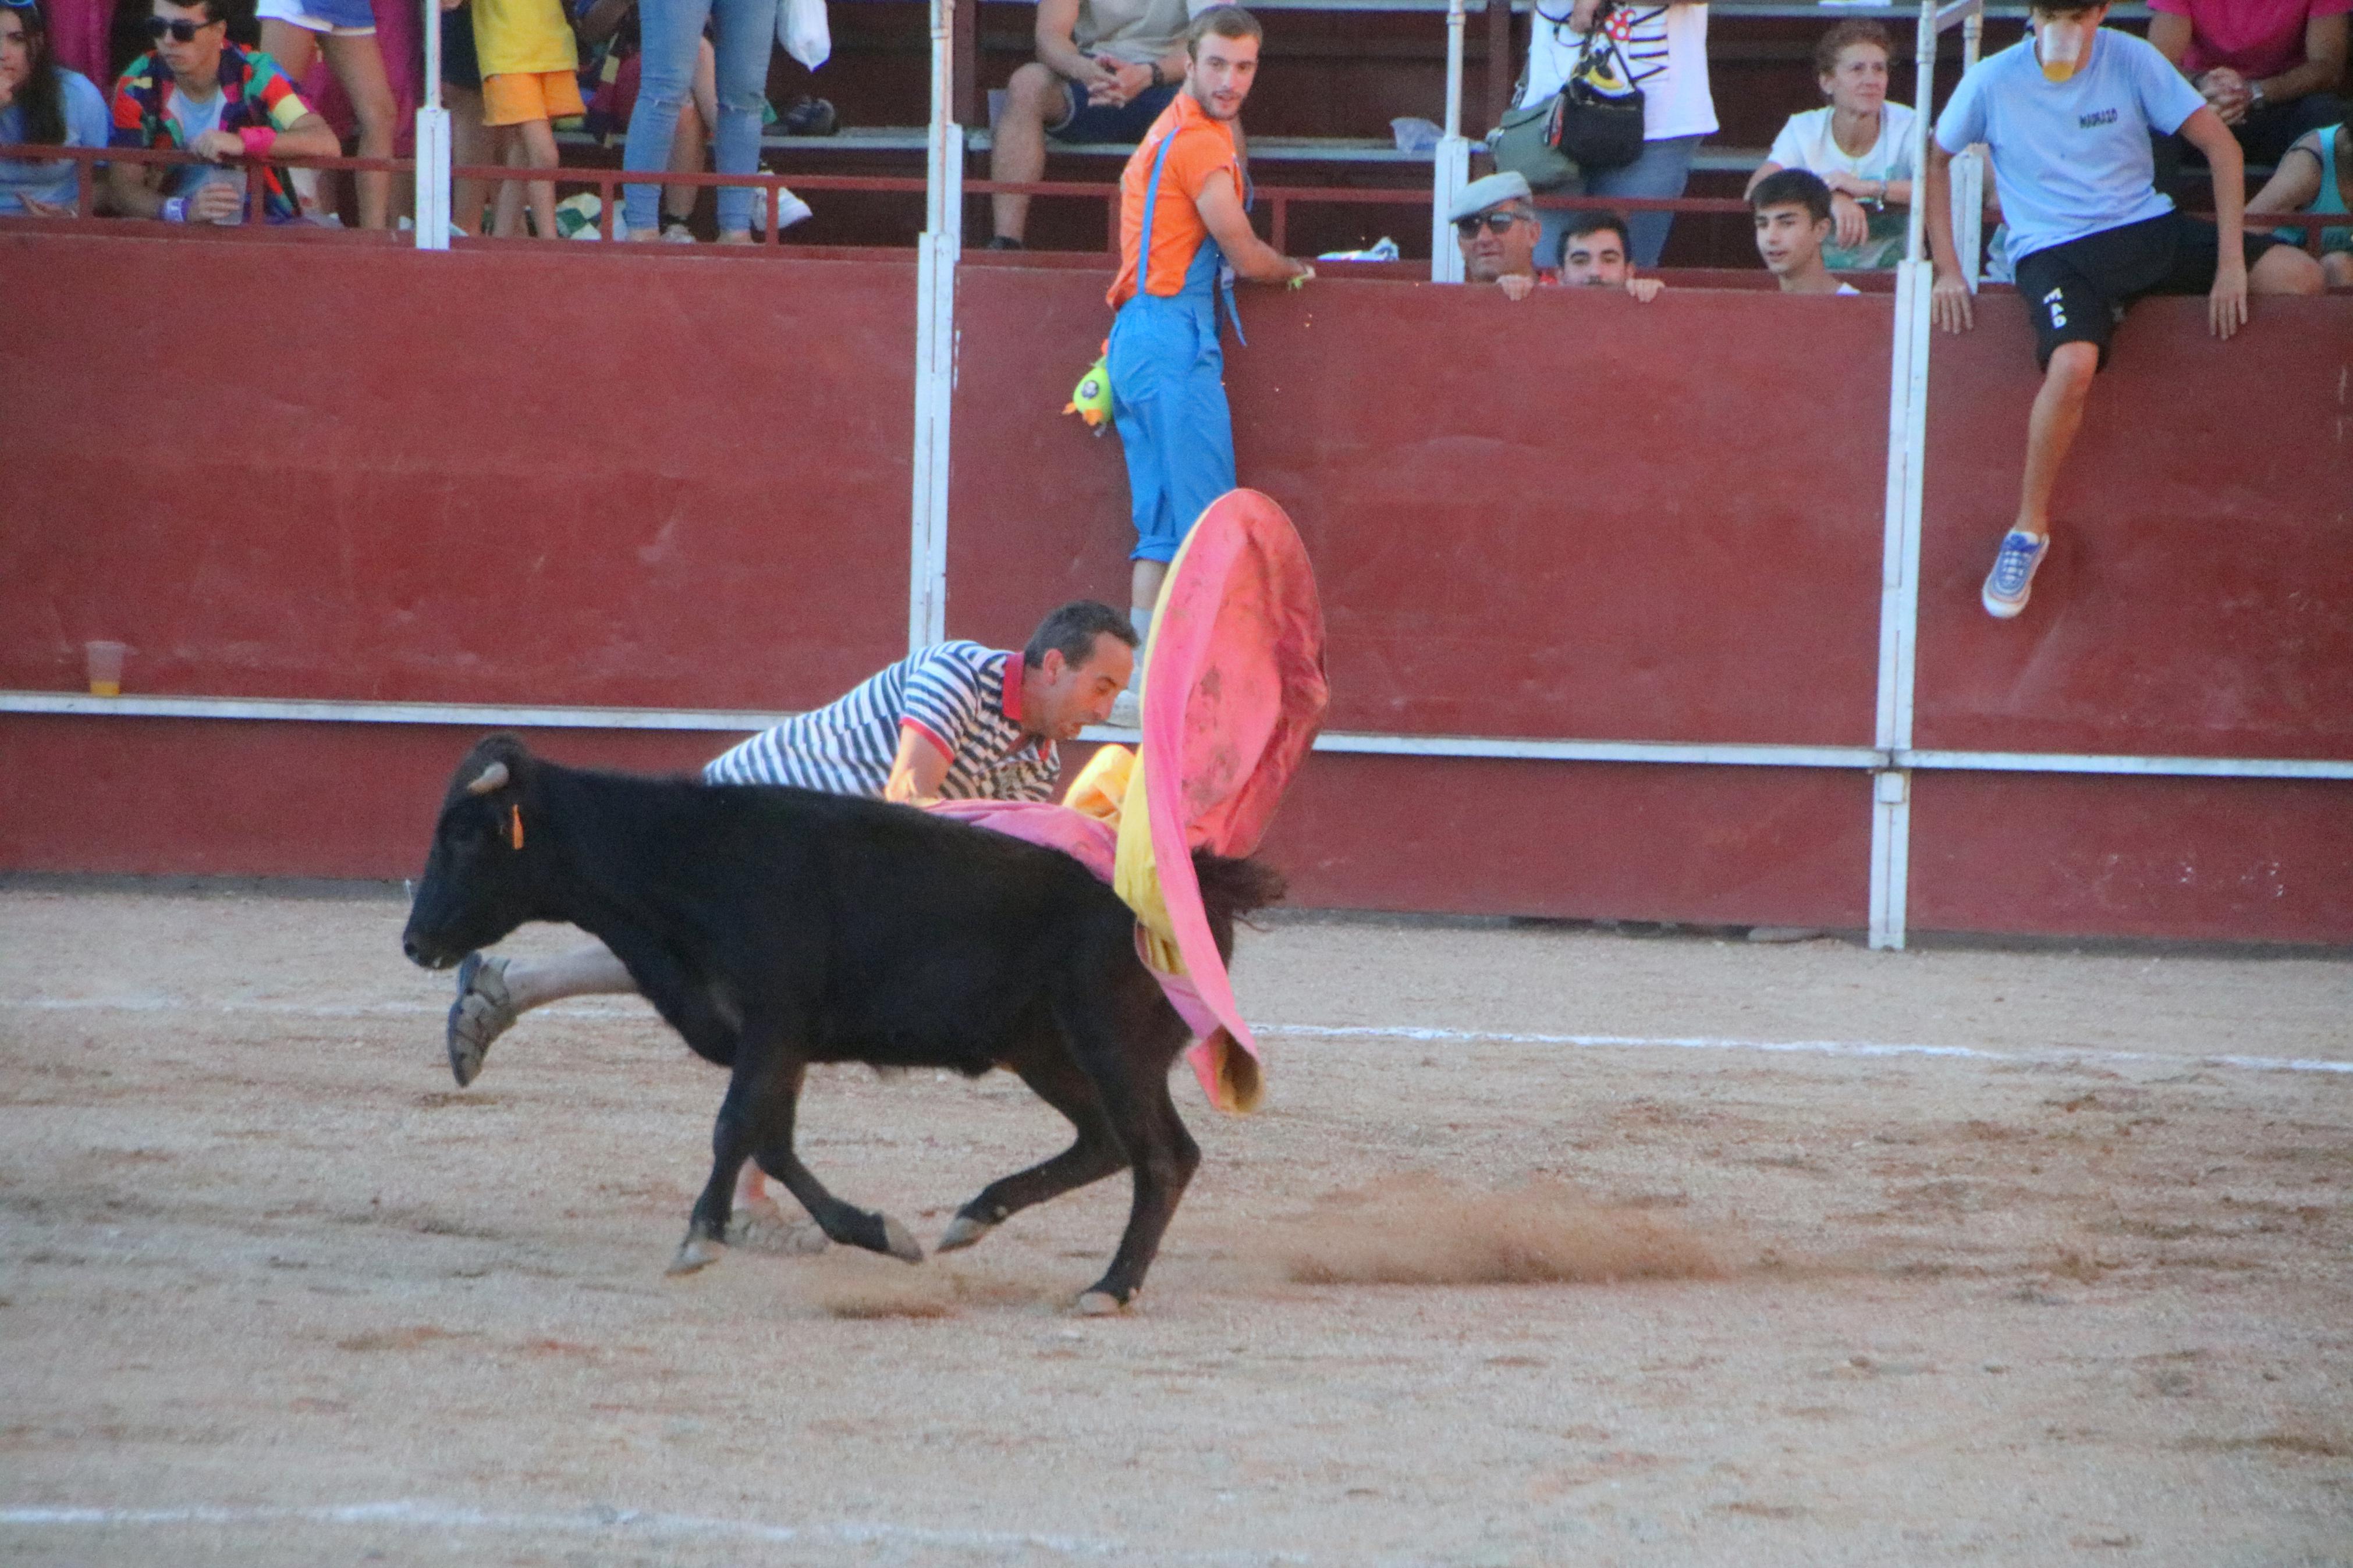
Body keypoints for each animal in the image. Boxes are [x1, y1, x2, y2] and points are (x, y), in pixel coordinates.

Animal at [407, 738, 1289, 1316]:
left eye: (465, 835)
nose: (414, 941)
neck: (685, 858)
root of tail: (1192, 879)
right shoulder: (780, 1041)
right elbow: (771, 1143)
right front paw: (880, 1233)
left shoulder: (772, 1022)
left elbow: (734, 1126)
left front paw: (699, 1236)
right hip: (1046, 1051)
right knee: (1107, 1142)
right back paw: (975, 1217)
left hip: (1111, 1045)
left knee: (1162, 1155)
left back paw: (1108, 1286)